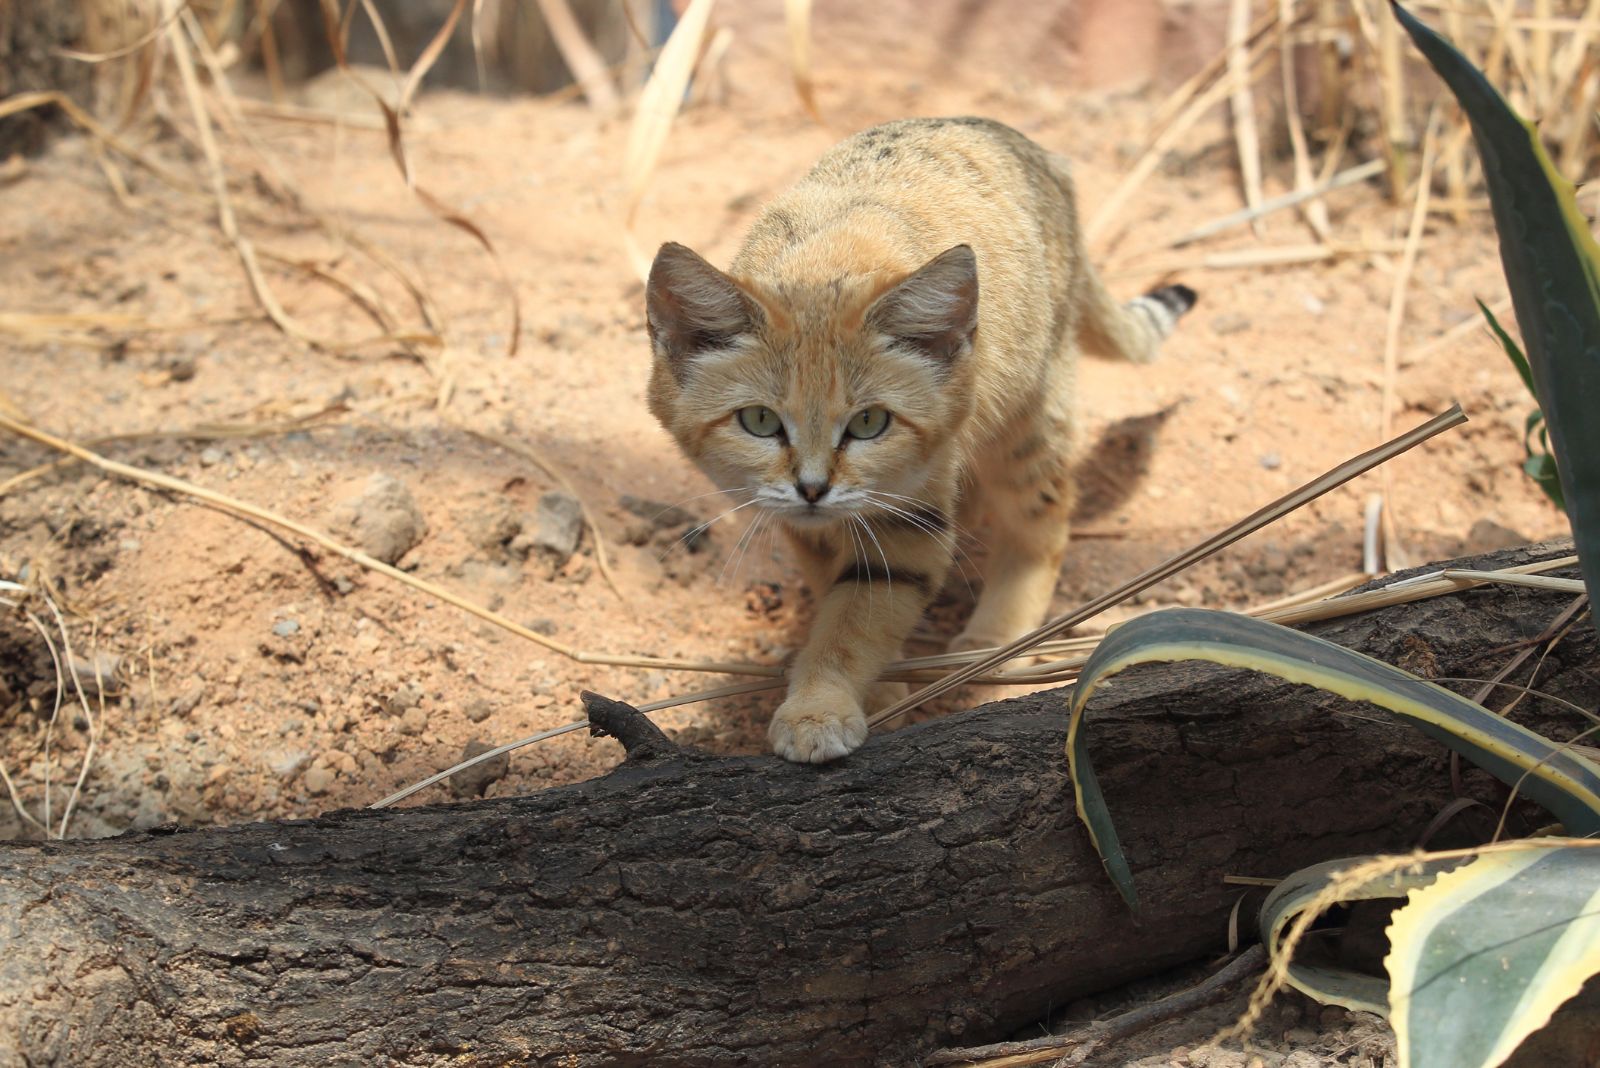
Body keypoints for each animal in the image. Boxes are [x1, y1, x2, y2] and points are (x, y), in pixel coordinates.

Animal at [636, 120, 1190, 764]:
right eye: (759, 421)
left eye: (870, 423)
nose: (812, 487)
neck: (822, 268)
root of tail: (1025, 144)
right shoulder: (806, 524)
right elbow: (840, 594)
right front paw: (876, 686)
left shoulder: (908, 514)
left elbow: (856, 619)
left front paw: (819, 706)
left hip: (1030, 413)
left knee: (1043, 521)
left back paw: (996, 636)